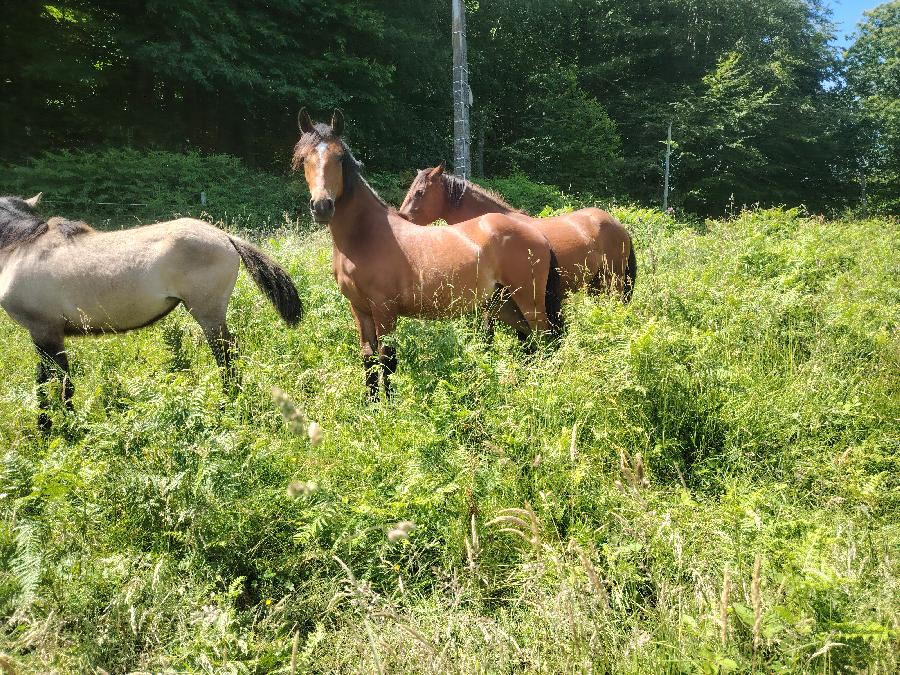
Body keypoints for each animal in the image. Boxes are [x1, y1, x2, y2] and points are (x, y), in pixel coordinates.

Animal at [0, 194, 302, 429]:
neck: (23, 248)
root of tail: (225, 237)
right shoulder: (47, 334)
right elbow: (49, 380)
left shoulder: (44, 331)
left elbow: (56, 383)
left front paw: (57, 427)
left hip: (208, 315)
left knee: (226, 356)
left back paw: (229, 402)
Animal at [291, 109, 563, 401]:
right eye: (304, 158)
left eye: (339, 157)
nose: (322, 206)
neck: (366, 236)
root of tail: (538, 235)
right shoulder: (360, 309)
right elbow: (368, 358)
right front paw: (371, 405)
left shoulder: (384, 309)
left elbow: (387, 358)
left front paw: (390, 406)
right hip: (502, 303)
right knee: (529, 338)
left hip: (529, 300)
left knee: (545, 337)